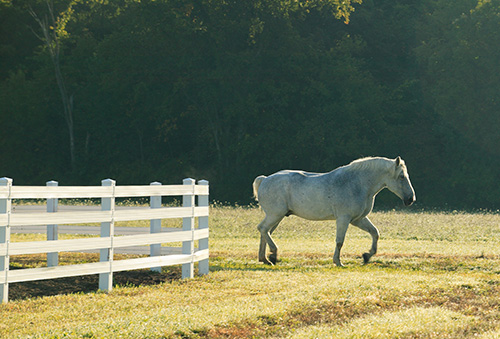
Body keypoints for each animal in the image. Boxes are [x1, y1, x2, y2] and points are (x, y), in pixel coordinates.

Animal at [254, 157, 414, 268]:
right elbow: (339, 241)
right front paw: (338, 262)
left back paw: (265, 259)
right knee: (262, 228)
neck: (357, 184)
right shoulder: (344, 219)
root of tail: (264, 179)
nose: (411, 199)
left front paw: (366, 256)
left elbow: (375, 233)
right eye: (401, 176)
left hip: (277, 217)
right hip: (275, 215)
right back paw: (273, 254)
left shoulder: (358, 219)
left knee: (265, 232)